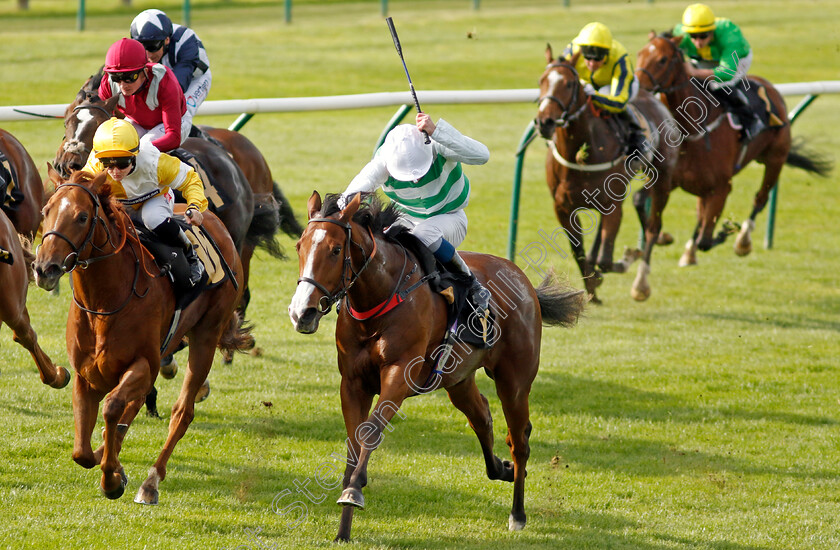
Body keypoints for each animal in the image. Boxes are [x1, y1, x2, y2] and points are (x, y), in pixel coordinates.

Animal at [31, 170, 253, 506]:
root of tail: (217, 224)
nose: (45, 268)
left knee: (182, 412)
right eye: (46, 211)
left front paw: (112, 479)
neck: (104, 303)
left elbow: (112, 407)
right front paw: (112, 464)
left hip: (206, 335)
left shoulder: (143, 363)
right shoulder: (86, 375)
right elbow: (81, 451)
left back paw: (151, 482)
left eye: (82, 217)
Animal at [288, 193, 584, 544]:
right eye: (300, 246)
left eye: (335, 250)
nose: (301, 312)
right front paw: (343, 531)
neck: (381, 299)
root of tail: (522, 279)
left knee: (519, 439)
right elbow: (354, 442)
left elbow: (371, 432)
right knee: (482, 417)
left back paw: (518, 513)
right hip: (459, 380)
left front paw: (354, 492)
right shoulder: (352, 383)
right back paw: (503, 469)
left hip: (514, 382)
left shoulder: (398, 375)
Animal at [540, 47, 684, 304]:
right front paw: (592, 287)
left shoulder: (613, 205)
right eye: (542, 81)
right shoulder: (562, 208)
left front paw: (625, 258)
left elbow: (607, 261)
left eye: (569, 84)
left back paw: (641, 282)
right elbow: (578, 251)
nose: (544, 121)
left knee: (652, 227)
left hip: (662, 178)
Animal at [632, 34, 832, 268]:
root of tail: (769, 87)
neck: (692, 132)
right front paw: (663, 237)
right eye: (640, 53)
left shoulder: (722, 187)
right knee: (702, 215)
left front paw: (726, 232)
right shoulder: (670, 180)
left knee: (760, 199)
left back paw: (743, 241)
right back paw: (690, 251)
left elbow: (706, 241)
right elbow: (639, 200)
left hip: (776, 159)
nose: (637, 88)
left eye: (662, 60)